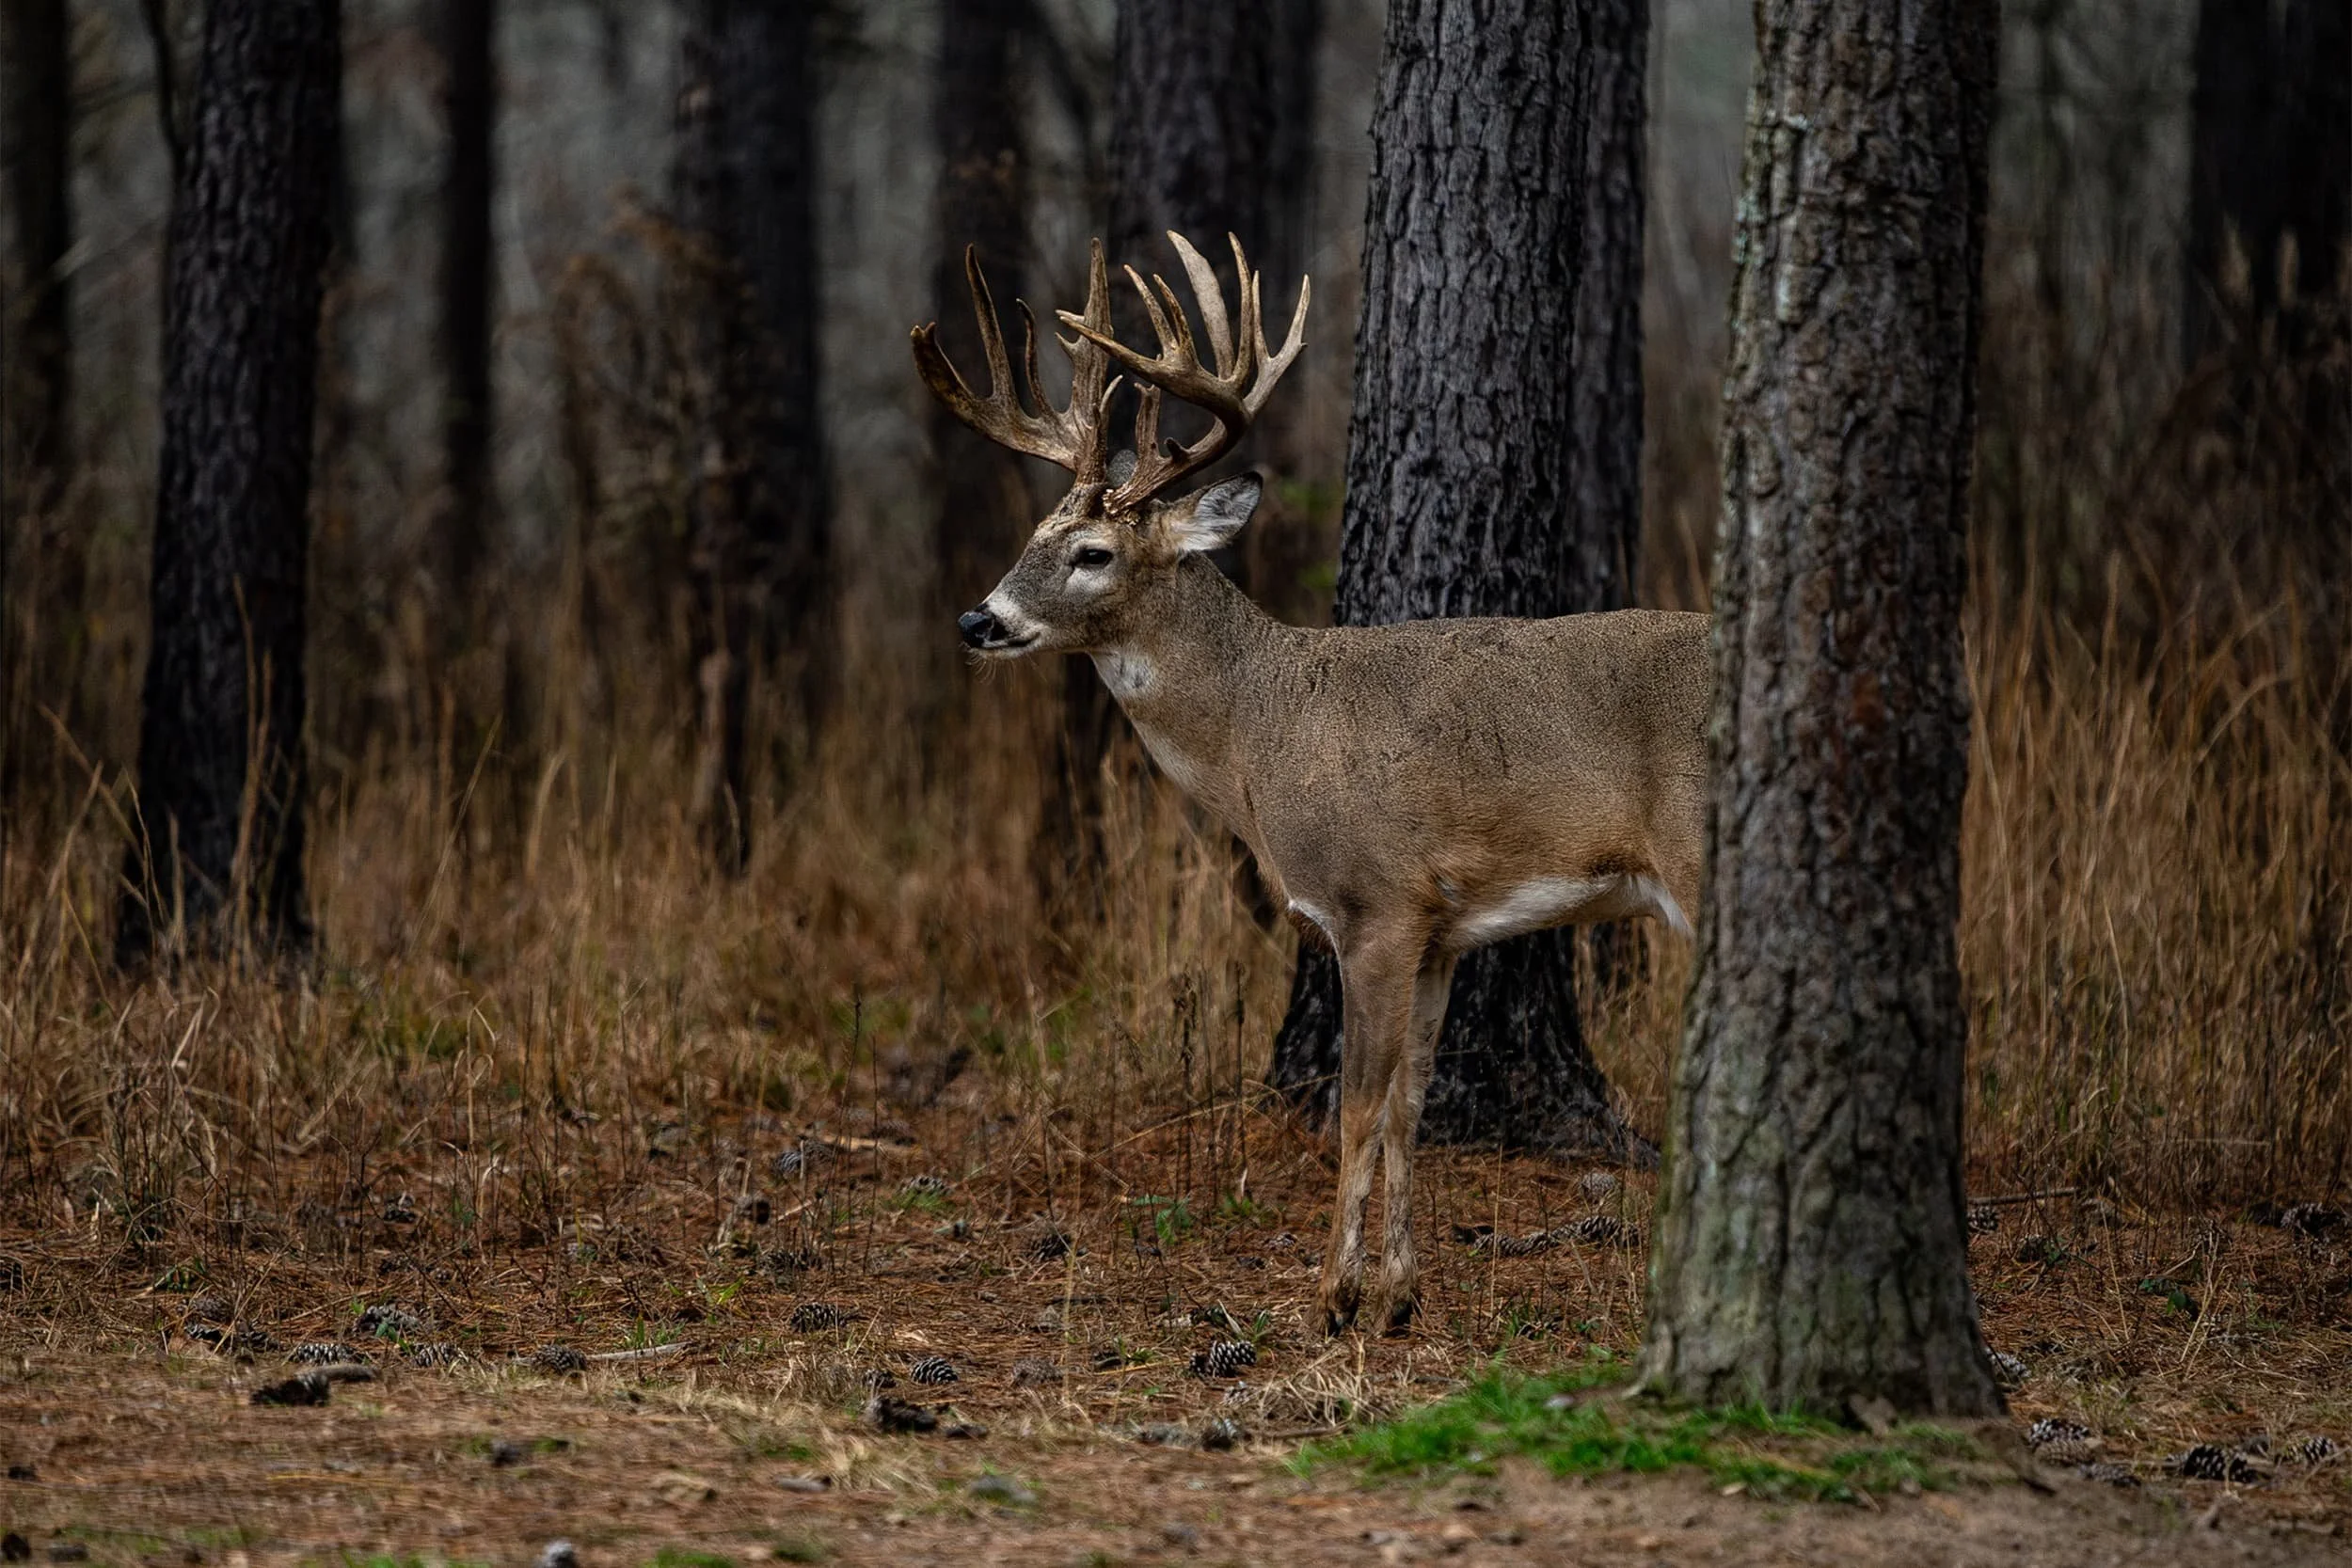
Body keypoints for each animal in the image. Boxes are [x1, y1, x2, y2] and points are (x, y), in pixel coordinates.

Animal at [912, 232, 1712, 1335]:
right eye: (1031, 535)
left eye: (1092, 552)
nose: (976, 620)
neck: (1265, 731)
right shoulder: (1442, 931)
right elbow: (1412, 1104)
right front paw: (1401, 1293)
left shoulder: (1376, 902)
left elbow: (1358, 1107)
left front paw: (1333, 1299)